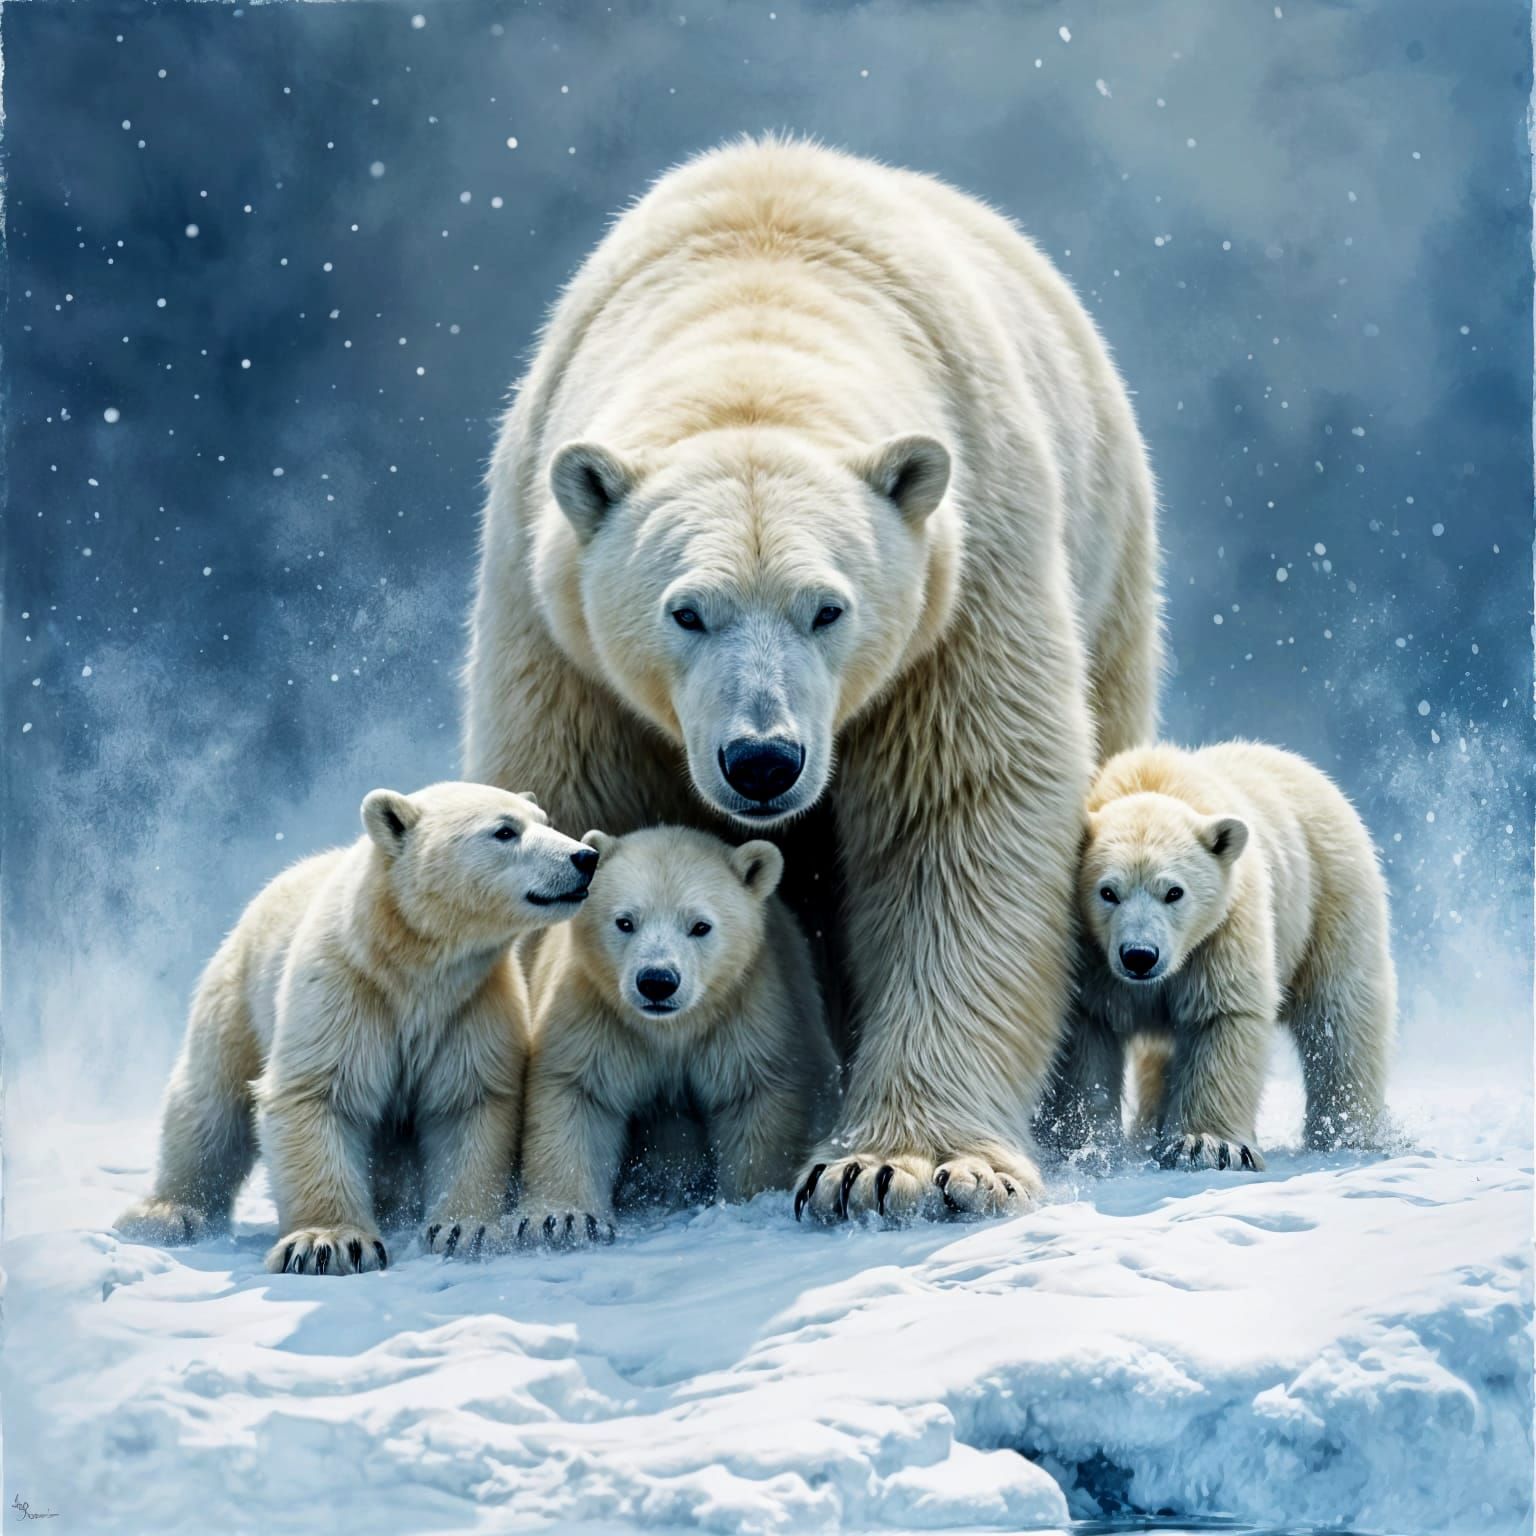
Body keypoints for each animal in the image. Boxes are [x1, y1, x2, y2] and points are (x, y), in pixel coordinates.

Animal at [115, 783, 599, 1274]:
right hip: (239, 997)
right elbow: (319, 1094)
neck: (411, 964)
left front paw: (465, 1230)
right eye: (504, 830)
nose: (585, 856)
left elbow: (468, 1101)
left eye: (546, 820)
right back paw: (167, 1214)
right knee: (211, 1102)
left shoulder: (471, 1003)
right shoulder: (345, 989)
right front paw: (329, 1244)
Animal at [517, 826, 839, 1243]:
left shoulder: (741, 1016)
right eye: (625, 921)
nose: (657, 981)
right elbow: (578, 1093)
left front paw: (749, 1200)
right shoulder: (596, 1014)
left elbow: (752, 1100)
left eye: (700, 925)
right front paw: (563, 1220)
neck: (670, 1029)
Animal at [1044, 741, 1395, 1169]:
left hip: (1330, 896)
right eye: (1107, 892)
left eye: (1174, 891)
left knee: (1340, 1017)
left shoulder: (1223, 929)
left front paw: (1207, 1144)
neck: (1150, 779)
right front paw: (1083, 1143)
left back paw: (1348, 1133)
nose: (1140, 956)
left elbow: (1222, 1014)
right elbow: (1089, 1034)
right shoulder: (1091, 956)